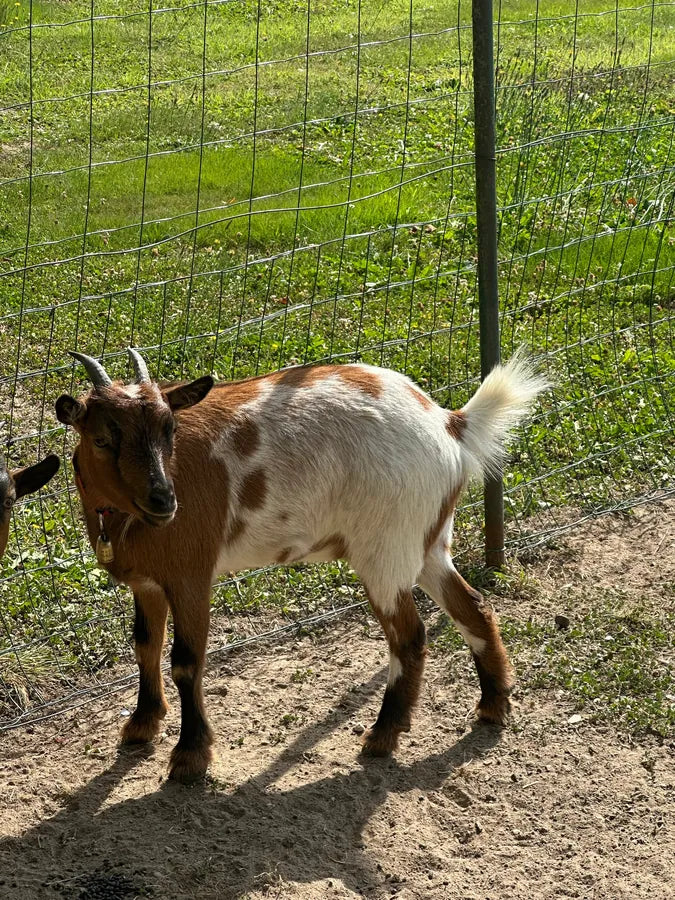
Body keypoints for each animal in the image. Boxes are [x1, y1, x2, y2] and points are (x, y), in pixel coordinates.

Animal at [56, 348, 546, 782]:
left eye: (169, 429)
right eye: (101, 438)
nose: (164, 501)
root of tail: (449, 422)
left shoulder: (190, 574)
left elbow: (185, 661)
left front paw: (190, 757)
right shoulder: (147, 582)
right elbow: (145, 647)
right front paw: (142, 725)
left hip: (385, 550)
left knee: (409, 635)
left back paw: (383, 736)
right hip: (426, 544)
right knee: (474, 607)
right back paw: (493, 705)